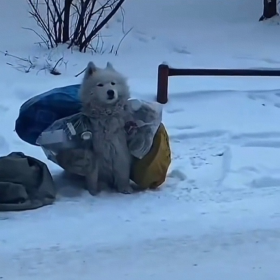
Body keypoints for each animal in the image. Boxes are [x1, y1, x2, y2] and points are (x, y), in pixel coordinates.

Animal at [79, 61, 134, 195]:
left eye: (113, 83)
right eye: (100, 85)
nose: (110, 92)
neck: (107, 114)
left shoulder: (120, 148)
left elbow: (123, 171)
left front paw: (125, 189)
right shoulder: (94, 152)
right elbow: (92, 176)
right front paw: (93, 192)